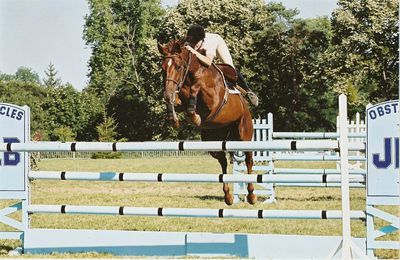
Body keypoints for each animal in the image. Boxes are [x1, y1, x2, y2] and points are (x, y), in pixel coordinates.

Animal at [158, 39, 255, 205]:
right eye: (163, 68)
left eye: (178, 66)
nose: (167, 92)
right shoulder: (181, 95)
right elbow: (178, 99)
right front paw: (174, 118)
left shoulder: (213, 99)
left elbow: (195, 88)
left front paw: (193, 116)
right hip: (214, 140)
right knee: (223, 162)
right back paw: (228, 197)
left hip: (244, 135)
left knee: (248, 160)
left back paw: (251, 195)